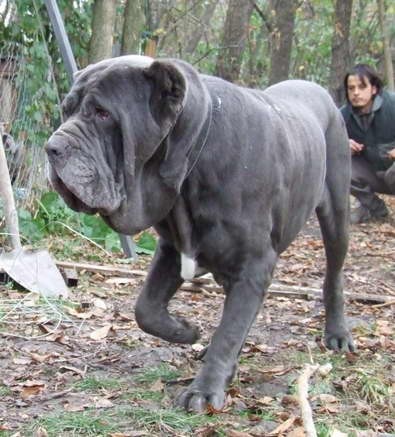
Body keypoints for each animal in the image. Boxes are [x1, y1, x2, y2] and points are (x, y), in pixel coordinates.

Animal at [46, 55, 356, 412]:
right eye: (67, 109)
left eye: (103, 114)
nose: (51, 147)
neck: (193, 161)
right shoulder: (173, 248)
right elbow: (146, 309)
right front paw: (187, 330)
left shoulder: (255, 265)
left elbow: (230, 331)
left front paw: (205, 390)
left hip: (336, 213)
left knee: (333, 273)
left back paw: (338, 333)